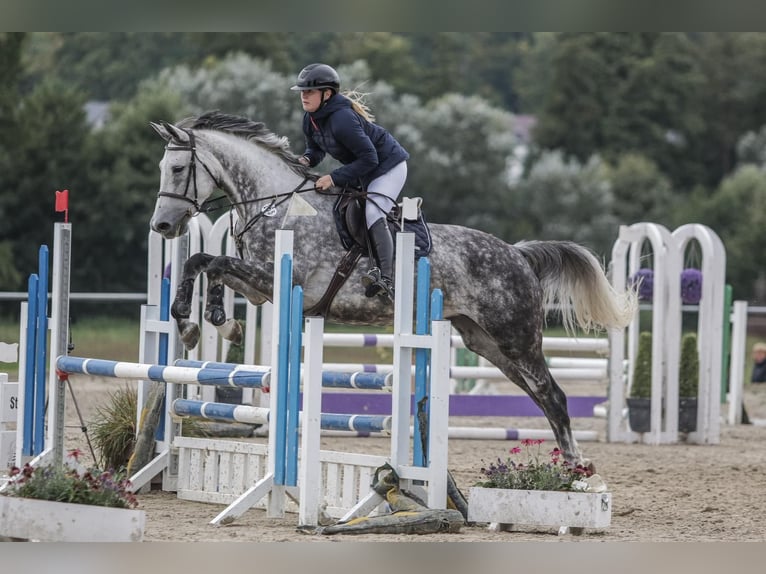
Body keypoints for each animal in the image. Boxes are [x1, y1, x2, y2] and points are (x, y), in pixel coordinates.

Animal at [148, 110, 635, 467]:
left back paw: (576, 467)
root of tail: (518, 254)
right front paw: (206, 323)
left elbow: (213, 262)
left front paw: (204, 323)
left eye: (178, 167)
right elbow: (204, 263)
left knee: (553, 394)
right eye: (162, 167)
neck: (277, 205)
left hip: (516, 338)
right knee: (539, 395)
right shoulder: (258, 288)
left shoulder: (281, 281)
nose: (163, 227)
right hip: (486, 343)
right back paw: (568, 462)